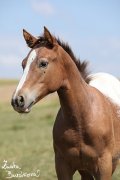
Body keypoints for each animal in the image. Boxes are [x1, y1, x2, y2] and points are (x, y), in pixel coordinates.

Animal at [11, 27, 120, 180]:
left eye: (43, 63)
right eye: (23, 64)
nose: (17, 100)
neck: (81, 121)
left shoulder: (104, 167)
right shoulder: (62, 166)